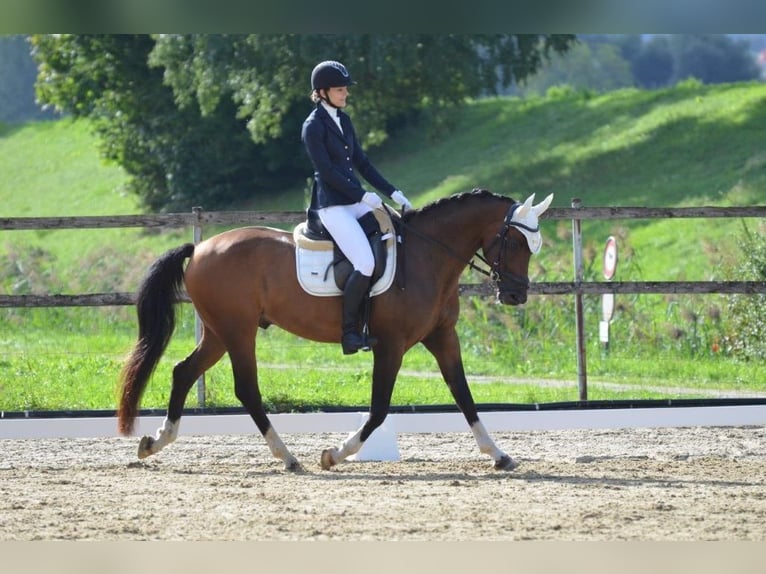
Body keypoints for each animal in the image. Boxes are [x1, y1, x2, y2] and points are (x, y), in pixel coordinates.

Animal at [117, 189, 556, 472]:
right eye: (515, 242)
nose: (515, 295)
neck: (427, 256)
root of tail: (200, 248)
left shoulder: (442, 337)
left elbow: (464, 396)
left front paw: (499, 454)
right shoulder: (391, 345)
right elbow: (378, 409)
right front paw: (336, 454)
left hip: (218, 332)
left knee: (183, 373)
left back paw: (155, 442)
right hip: (238, 331)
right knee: (246, 389)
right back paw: (288, 457)